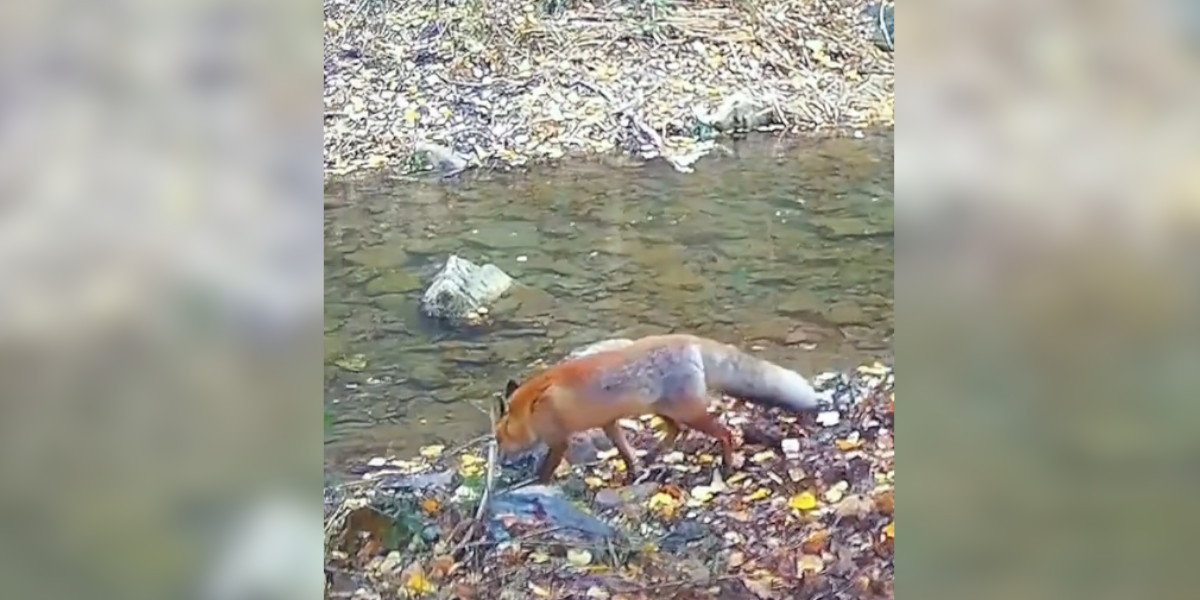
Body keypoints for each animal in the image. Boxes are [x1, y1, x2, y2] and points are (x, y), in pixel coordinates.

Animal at [493, 334, 823, 483]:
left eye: (498, 438)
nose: (499, 462)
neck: (531, 407)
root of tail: (689, 339)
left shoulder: (559, 440)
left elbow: (545, 470)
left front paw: (534, 485)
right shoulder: (610, 423)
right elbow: (625, 450)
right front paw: (633, 471)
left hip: (689, 412)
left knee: (725, 433)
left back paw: (727, 466)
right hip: (664, 411)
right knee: (675, 432)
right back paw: (653, 456)